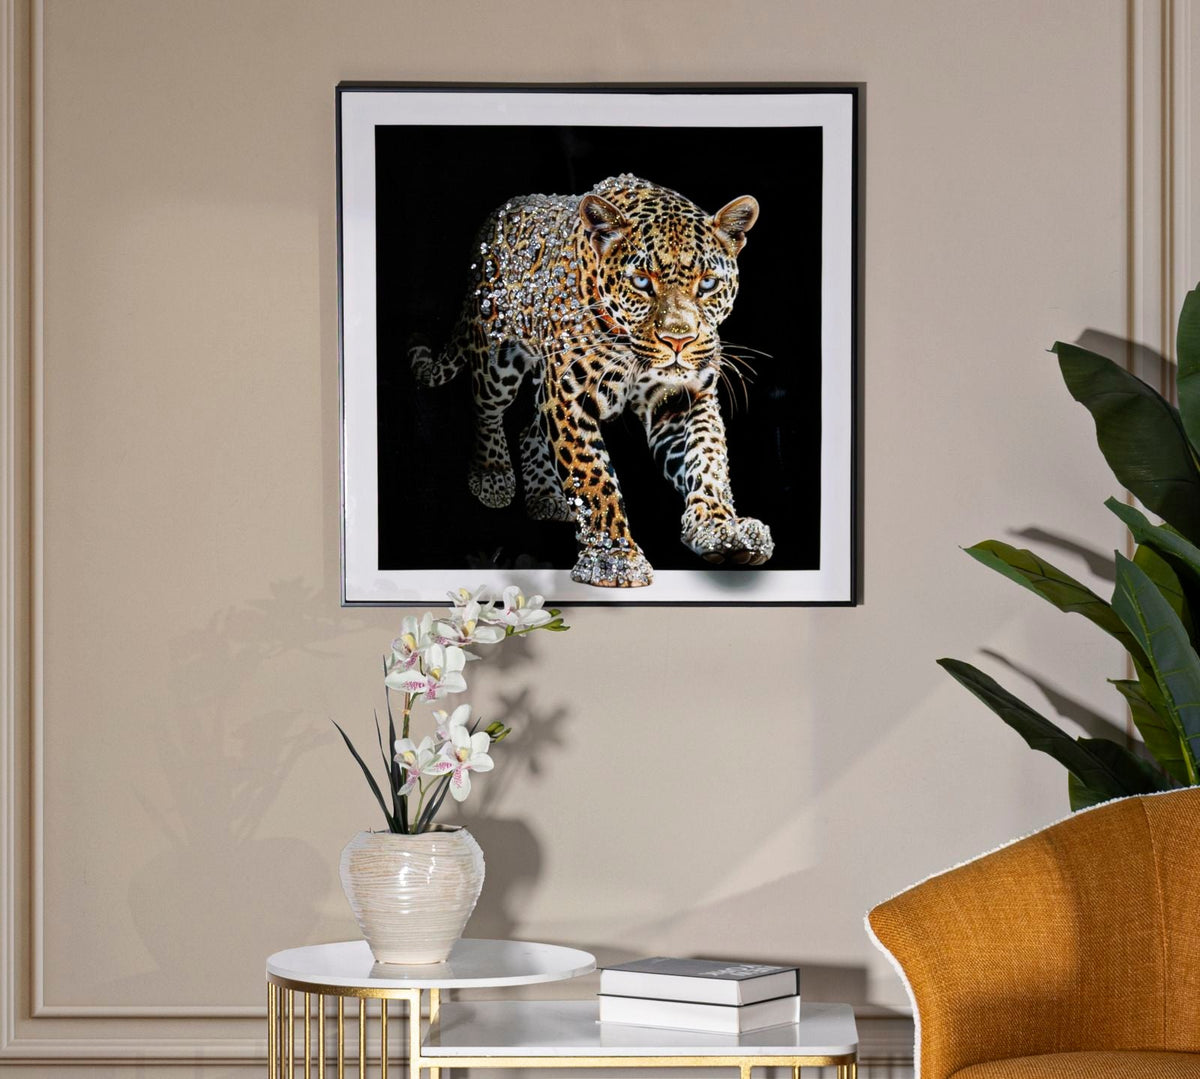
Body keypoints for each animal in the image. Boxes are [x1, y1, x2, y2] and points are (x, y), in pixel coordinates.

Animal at [410, 173, 774, 588]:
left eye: (708, 284)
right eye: (641, 282)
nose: (678, 340)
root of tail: (500, 212)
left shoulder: (683, 397)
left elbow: (707, 458)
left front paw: (721, 530)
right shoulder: (568, 396)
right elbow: (592, 475)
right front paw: (613, 557)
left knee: (530, 428)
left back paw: (547, 497)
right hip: (495, 355)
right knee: (486, 410)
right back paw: (493, 475)